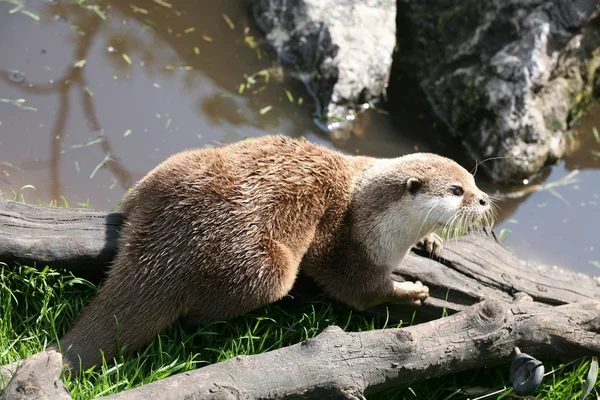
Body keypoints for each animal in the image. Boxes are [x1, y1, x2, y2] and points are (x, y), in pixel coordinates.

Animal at [54, 134, 492, 372]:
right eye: (457, 191)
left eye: (473, 180)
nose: (486, 199)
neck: (366, 205)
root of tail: (178, 242)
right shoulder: (347, 245)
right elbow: (360, 290)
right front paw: (411, 290)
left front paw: (432, 242)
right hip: (266, 267)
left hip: (176, 167)